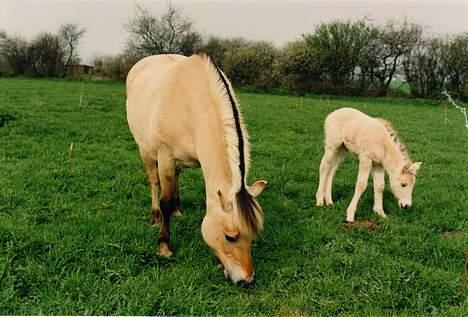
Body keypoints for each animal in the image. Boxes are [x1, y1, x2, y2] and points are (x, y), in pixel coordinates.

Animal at [126, 51, 266, 284]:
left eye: (253, 234)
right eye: (230, 236)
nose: (246, 280)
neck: (192, 104)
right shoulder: (165, 156)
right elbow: (165, 201)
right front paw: (164, 246)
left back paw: (177, 210)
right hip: (145, 149)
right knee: (154, 182)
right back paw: (156, 216)